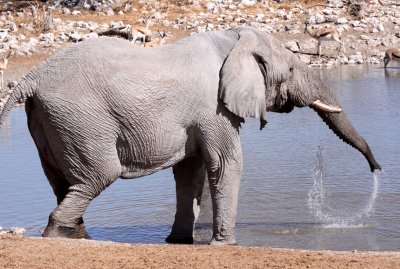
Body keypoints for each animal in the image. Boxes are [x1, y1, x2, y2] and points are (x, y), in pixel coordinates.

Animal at [0, 26, 382, 244]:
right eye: (289, 69)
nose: (377, 169)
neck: (231, 41)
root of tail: (30, 79)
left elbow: (190, 171)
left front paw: (179, 241)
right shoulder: (213, 107)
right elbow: (227, 163)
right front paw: (226, 245)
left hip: (51, 121)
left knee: (63, 182)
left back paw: (77, 237)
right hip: (80, 119)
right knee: (97, 176)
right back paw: (56, 235)